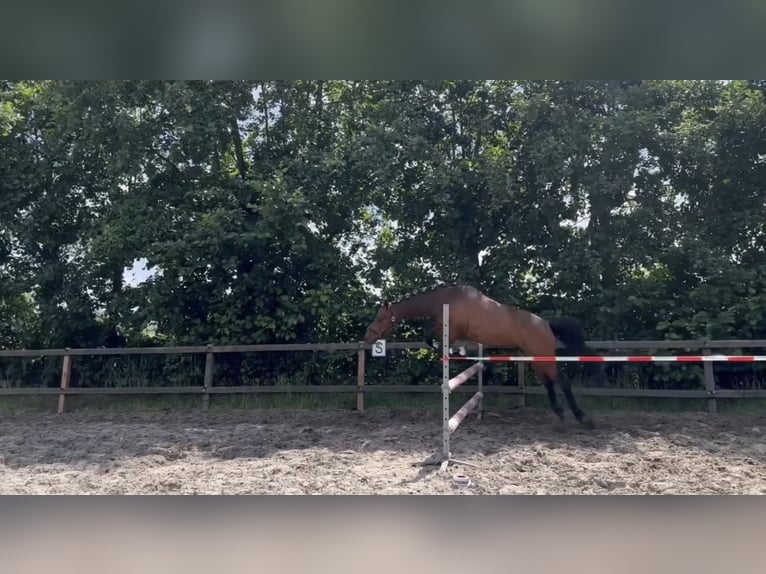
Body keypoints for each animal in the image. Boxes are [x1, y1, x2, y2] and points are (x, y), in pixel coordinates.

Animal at [364, 286, 604, 430]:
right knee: (549, 383)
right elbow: (430, 337)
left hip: (543, 357)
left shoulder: (450, 331)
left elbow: (429, 337)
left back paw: (582, 418)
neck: (446, 300)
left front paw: (447, 354)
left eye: (380, 318)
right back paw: (560, 414)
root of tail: (546, 324)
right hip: (536, 360)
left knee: (562, 381)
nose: (368, 337)